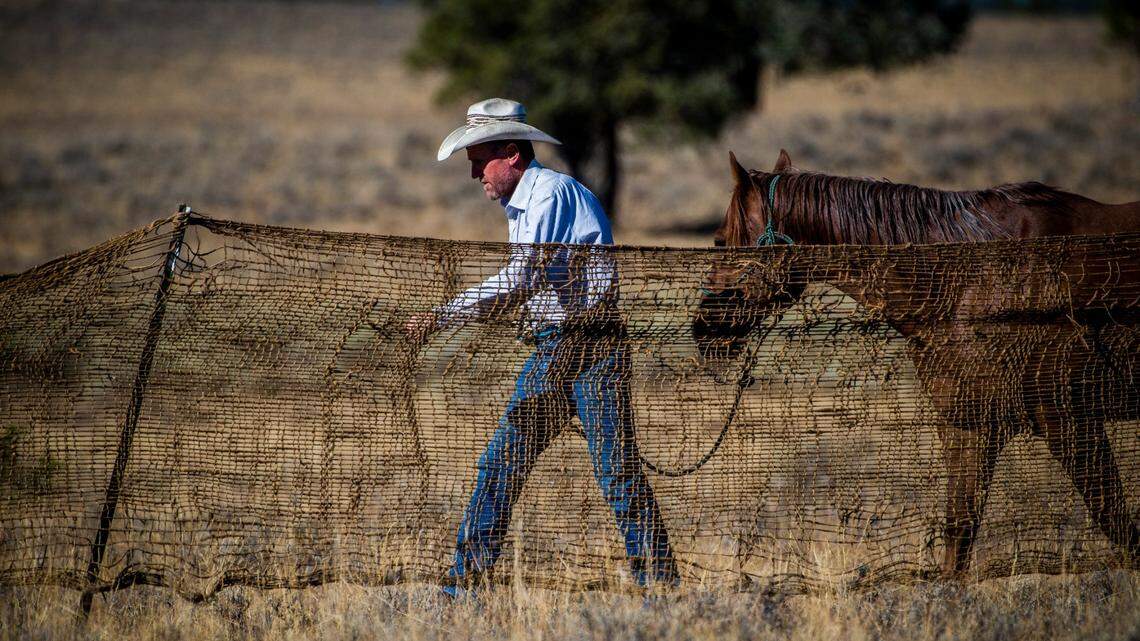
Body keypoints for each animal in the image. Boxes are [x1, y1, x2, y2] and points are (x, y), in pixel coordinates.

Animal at [692, 150, 1140, 577]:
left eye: (719, 241)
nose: (702, 330)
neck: (966, 279)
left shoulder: (1068, 417)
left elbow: (1118, 524)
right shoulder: (970, 422)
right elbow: (958, 537)